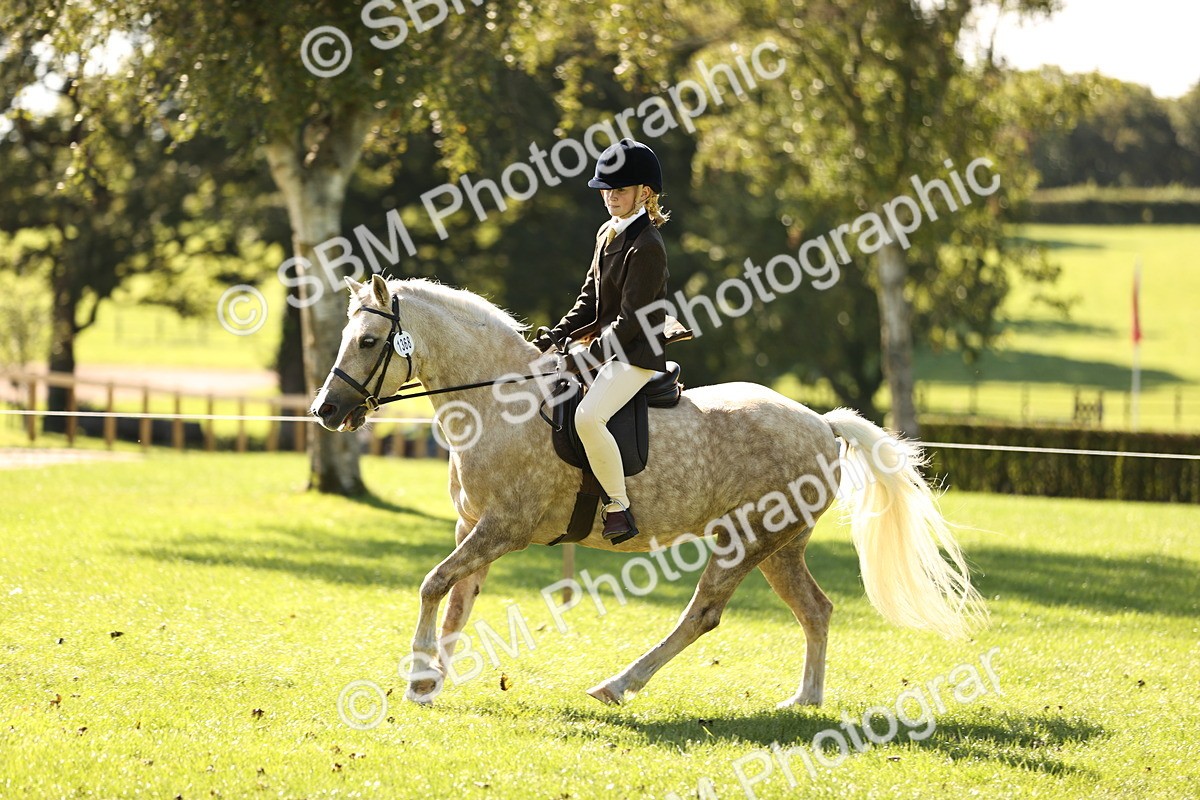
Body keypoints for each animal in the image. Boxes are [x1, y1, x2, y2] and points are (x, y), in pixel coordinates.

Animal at [311, 274, 986, 708]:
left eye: (368, 342)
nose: (326, 410)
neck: (499, 403)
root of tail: (823, 423)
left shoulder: (503, 529)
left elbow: (433, 585)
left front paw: (418, 678)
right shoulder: (472, 527)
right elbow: (457, 599)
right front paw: (430, 682)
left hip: (745, 541)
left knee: (703, 614)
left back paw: (618, 686)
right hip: (780, 545)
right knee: (815, 610)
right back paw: (804, 700)